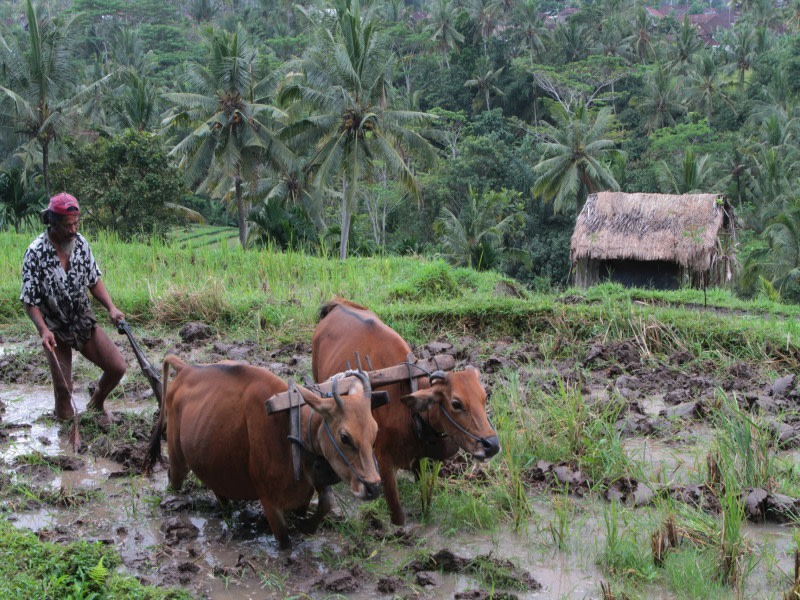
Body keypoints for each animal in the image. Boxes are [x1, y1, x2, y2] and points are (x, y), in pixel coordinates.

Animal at [150, 356, 382, 548]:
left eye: (375, 431)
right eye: (345, 437)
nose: (373, 488)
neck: (291, 428)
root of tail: (186, 369)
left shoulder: (318, 473)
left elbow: (326, 502)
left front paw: (307, 526)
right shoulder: (270, 503)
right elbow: (286, 543)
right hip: (177, 458)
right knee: (174, 479)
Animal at [314, 300, 496, 524]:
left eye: (484, 397)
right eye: (456, 403)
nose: (492, 445)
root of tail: (338, 304)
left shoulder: (419, 459)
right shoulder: (384, 464)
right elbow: (398, 515)